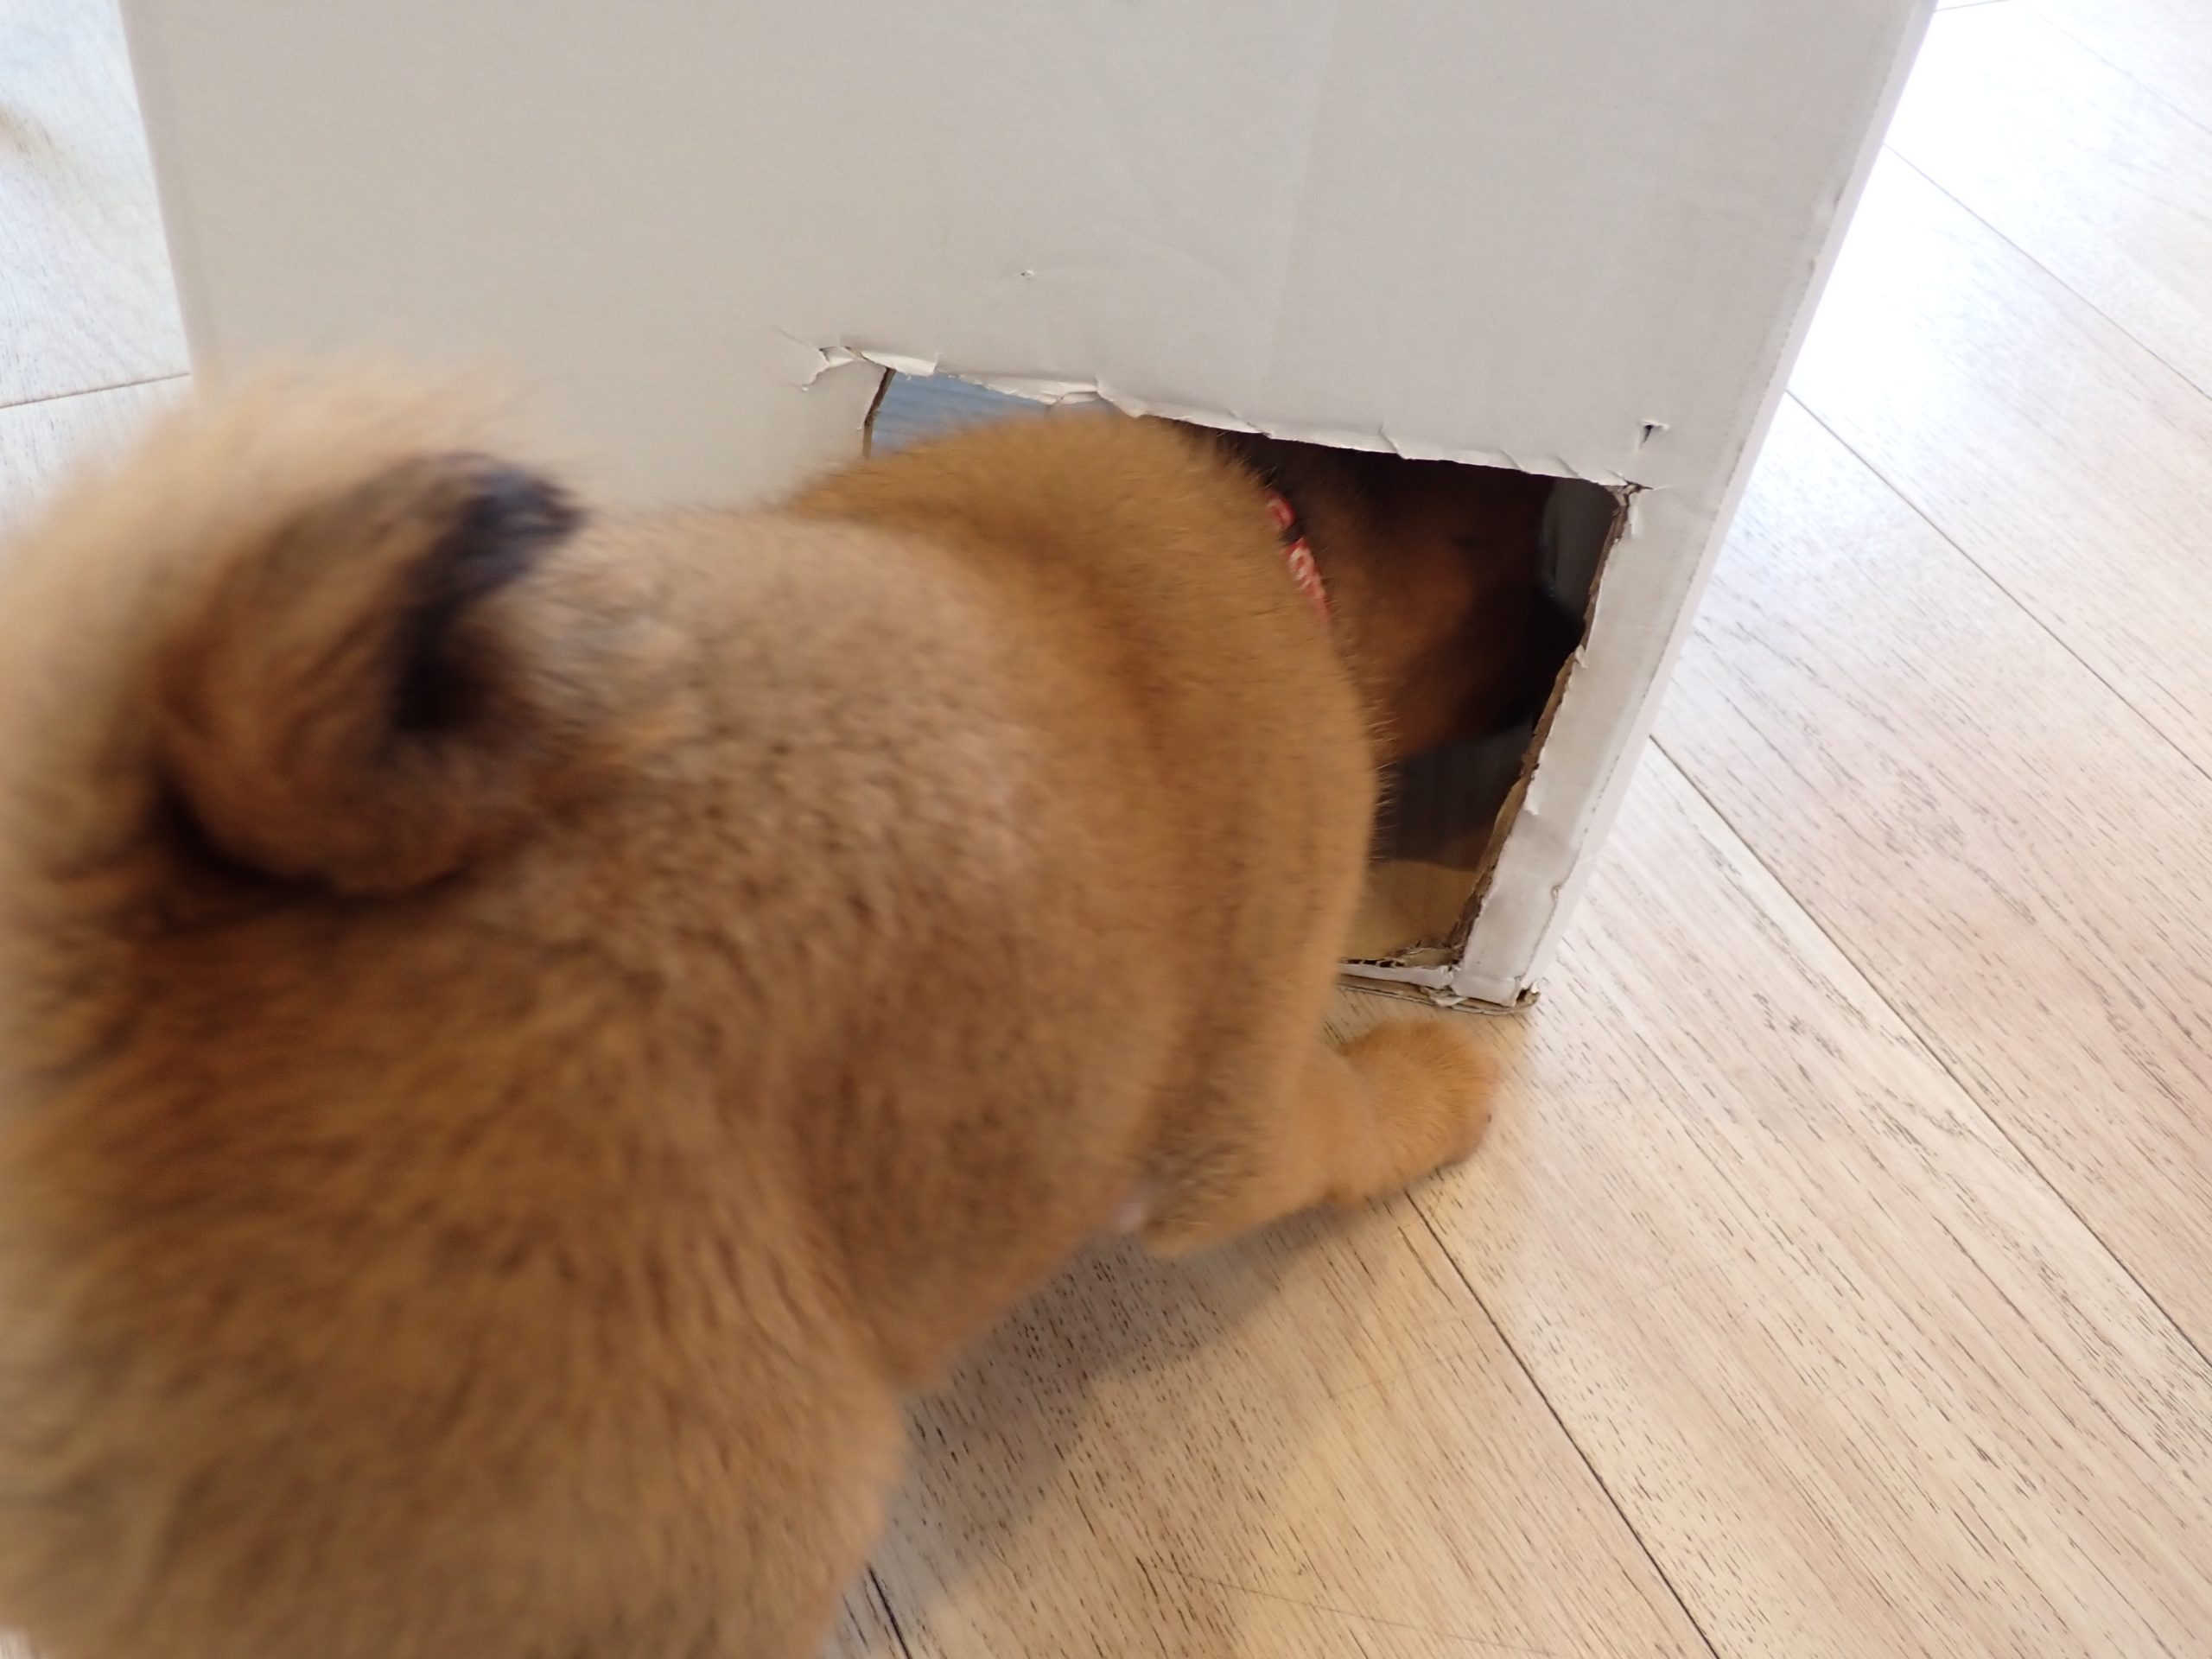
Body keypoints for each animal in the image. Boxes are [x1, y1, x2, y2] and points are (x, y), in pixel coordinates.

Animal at [0, 378, 1560, 1658]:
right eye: (1509, 577)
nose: (1565, 642)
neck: (1275, 532)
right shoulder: (1244, 1131)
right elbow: (1360, 1116)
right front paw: (1437, 1072)